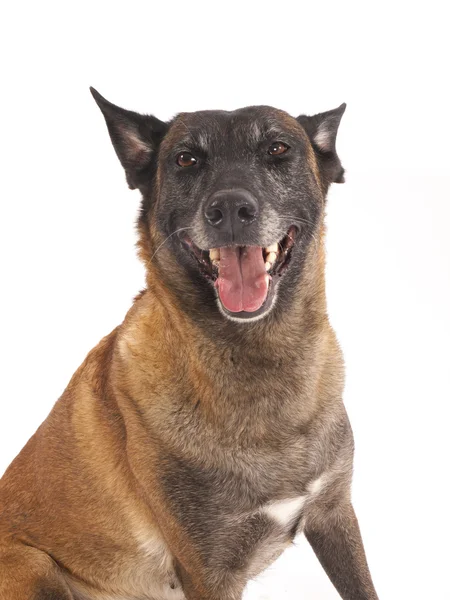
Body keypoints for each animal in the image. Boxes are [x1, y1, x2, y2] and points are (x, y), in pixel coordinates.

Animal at [0, 89, 380, 600]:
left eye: (277, 149)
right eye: (186, 159)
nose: (231, 210)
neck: (260, 359)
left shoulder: (334, 515)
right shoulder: (208, 569)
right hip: (32, 564)